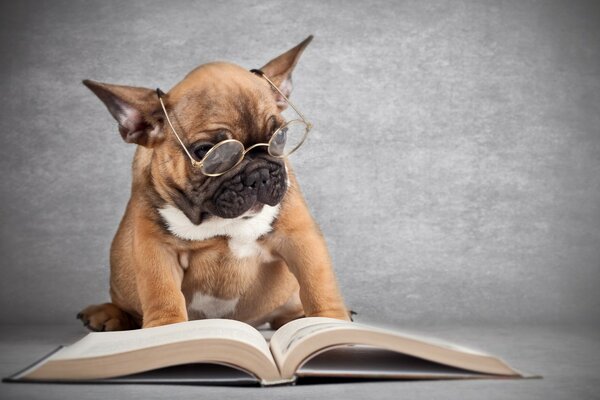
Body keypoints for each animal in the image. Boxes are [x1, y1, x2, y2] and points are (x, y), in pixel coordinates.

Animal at [77, 36, 350, 332]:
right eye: (207, 152)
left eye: (281, 136)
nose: (259, 173)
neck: (219, 222)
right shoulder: (156, 250)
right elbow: (162, 293)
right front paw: (167, 330)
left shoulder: (299, 236)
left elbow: (318, 282)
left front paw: (330, 324)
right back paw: (107, 314)